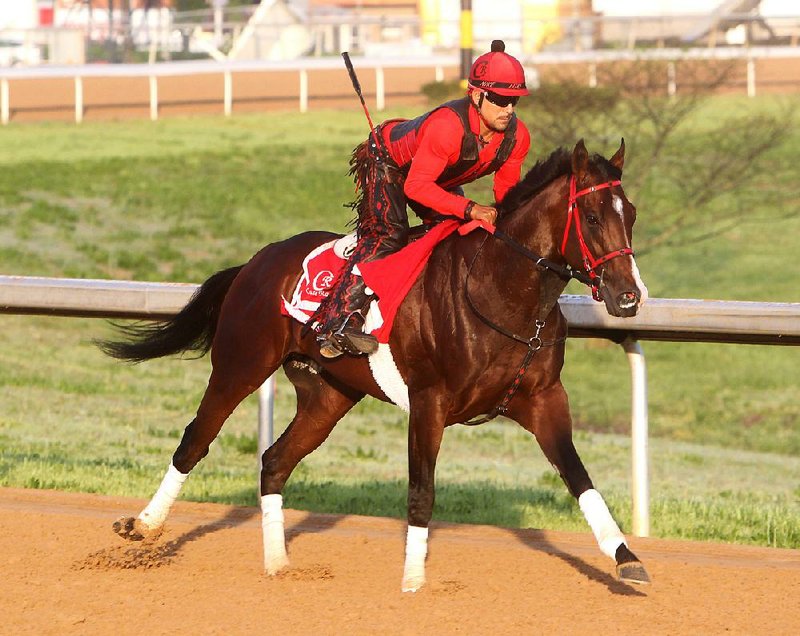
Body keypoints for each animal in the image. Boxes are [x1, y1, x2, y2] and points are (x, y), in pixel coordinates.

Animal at [101, 139, 648, 592]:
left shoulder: (542, 399)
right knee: (196, 440)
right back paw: (143, 525)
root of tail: (256, 262)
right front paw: (413, 582)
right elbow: (421, 491)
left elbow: (580, 478)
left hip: (328, 395)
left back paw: (279, 565)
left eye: (633, 215)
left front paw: (627, 559)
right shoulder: (428, 403)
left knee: (275, 461)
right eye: (592, 217)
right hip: (241, 364)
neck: (502, 292)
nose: (628, 297)